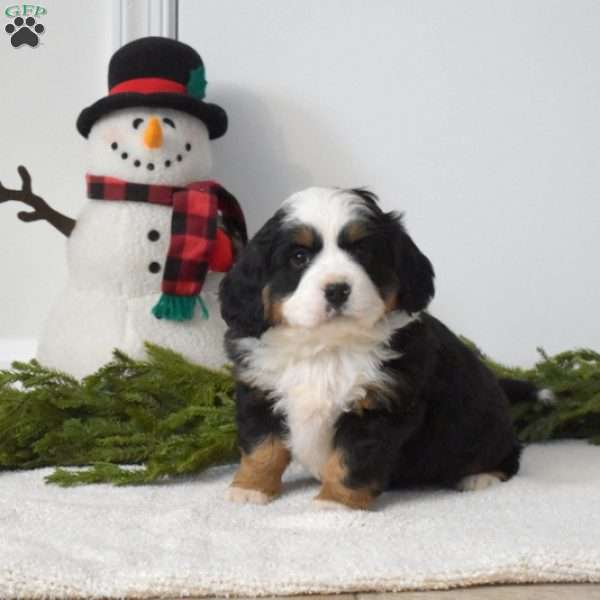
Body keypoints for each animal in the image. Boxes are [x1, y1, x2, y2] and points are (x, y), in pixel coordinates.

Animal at [223, 188, 532, 510]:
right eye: (299, 257)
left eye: (362, 252)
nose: (337, 289)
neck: (327, 349)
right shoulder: (259, 392)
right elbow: (262, 448)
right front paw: (250, 488)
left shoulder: (379, 407)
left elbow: (349, 462)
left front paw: (334, 504)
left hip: (486, 426)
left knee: (510, 454)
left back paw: (480, 477)